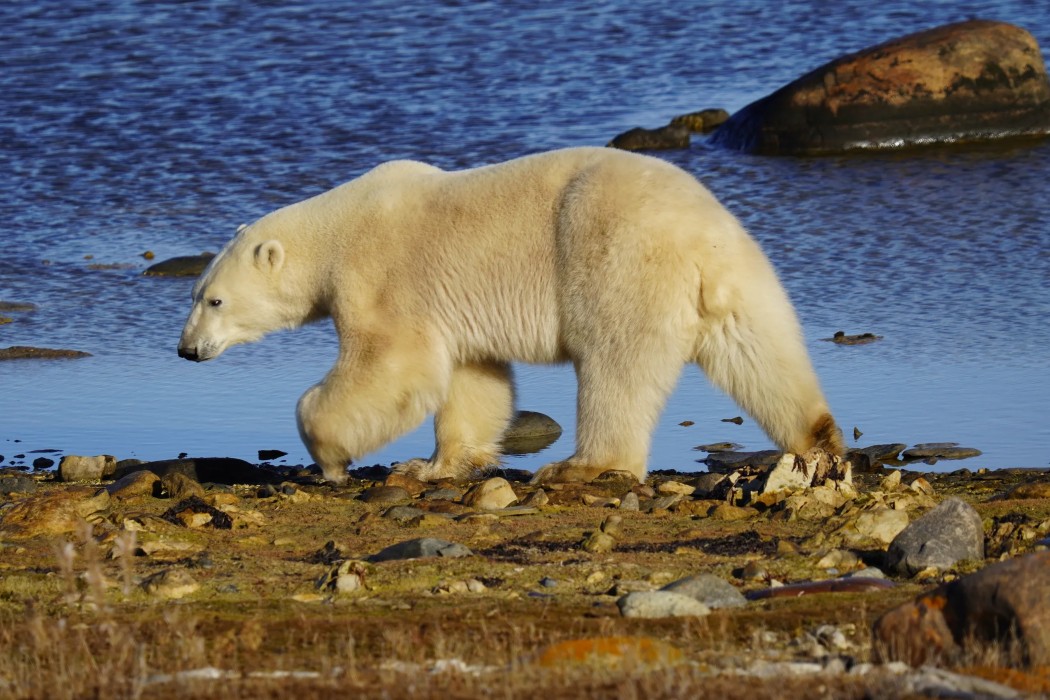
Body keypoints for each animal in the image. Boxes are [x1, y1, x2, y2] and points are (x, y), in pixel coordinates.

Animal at [177, 147, 842, 484]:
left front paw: (332, 458)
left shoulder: (382, 277)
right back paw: (818, 440)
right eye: (197, 294)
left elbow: (393, 366)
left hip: (614, 259)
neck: (335, 231)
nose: (185, 350)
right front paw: (437, 463)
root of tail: (701, 237)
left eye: (213, 300)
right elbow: (473, 379)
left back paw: (581, 465)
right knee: (763, 352)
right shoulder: (452, 308)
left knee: (614, 367)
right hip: (744, 279)